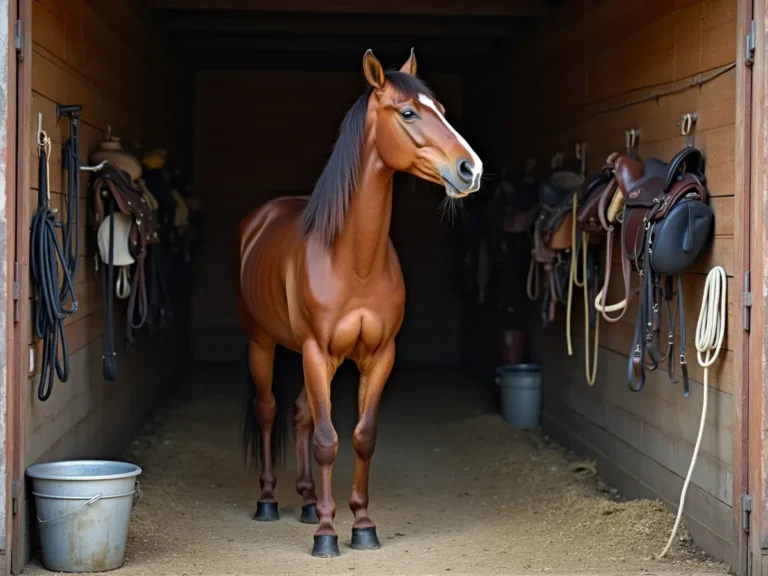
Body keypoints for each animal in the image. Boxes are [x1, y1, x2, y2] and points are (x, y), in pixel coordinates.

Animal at [236, 48, 483, 558]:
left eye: (441, 111)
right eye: (408, 113)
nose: (471, 169)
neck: (354, 260)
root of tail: (261, 218)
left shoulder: (377, 356)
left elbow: (361, 437)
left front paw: (362, 525)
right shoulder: (316, 351)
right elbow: (328, 439)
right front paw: (327, 534)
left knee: (299, 413)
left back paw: (308, 501)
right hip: (263, 343)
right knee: (269, 410)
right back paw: (269, 500)